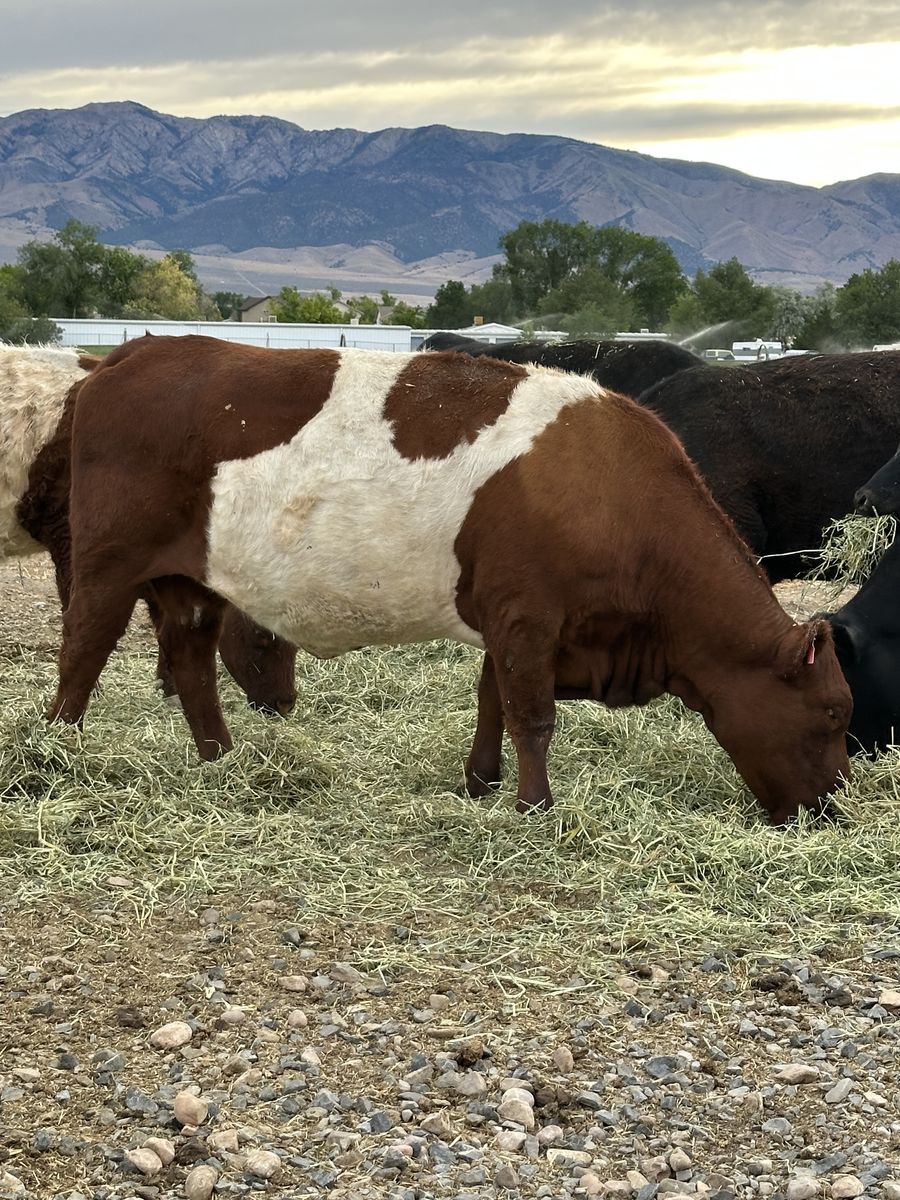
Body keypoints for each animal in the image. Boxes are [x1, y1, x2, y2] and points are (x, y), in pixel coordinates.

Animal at [52, 334, 850, 823]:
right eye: (836, 713)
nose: (832, 809)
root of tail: (131, 354)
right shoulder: (528, 618)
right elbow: (531, 716)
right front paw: (535, 807)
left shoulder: (509, 621)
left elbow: (491, 701)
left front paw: (481, 784)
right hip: (107, 564)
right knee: (83, 650)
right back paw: (59, 751)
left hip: (191, 581)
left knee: (190, 662)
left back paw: (220, 759)